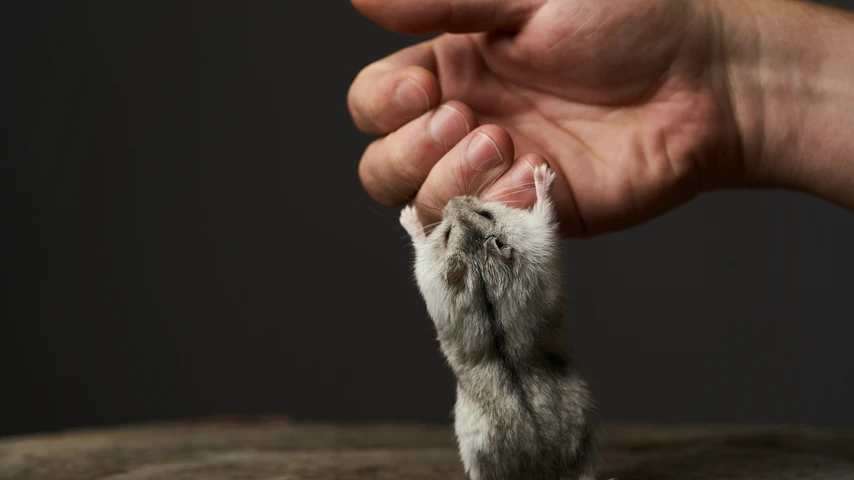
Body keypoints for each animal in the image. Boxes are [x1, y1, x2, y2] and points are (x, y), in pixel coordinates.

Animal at [402, 163, 600, 478]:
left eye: (485, 214)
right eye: (447, 234)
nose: (453, 199)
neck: (480, 263)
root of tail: (537, 453)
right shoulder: (538, 233)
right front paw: (542, 172)